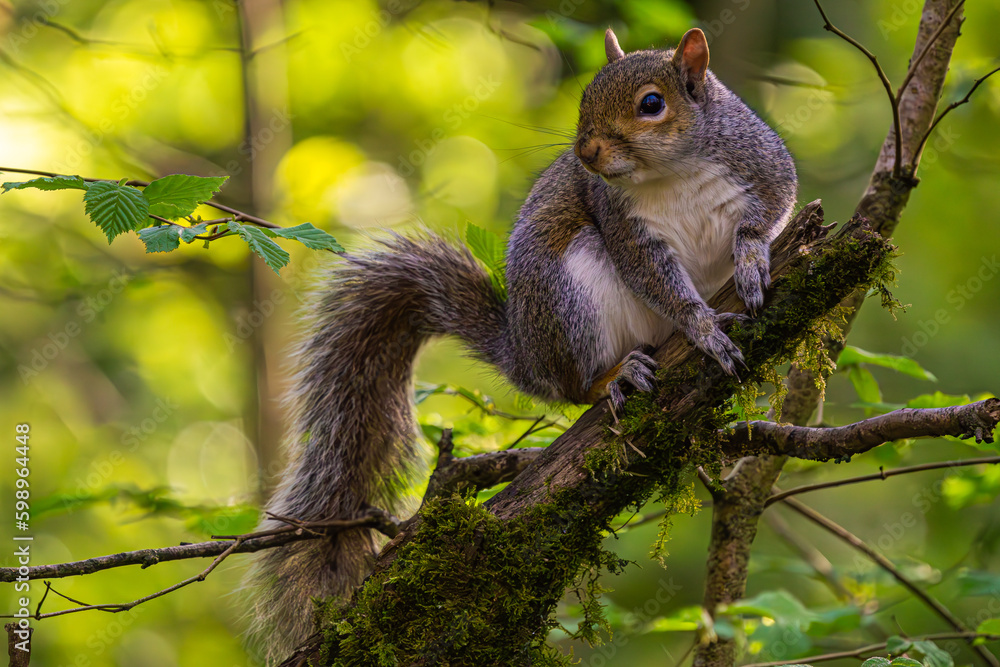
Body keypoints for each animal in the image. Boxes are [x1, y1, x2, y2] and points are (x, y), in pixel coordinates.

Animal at [248, 27, 796, 664]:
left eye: (652, 104)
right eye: (584, 98)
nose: (586, 154)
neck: (673, 169)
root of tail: (525, 354)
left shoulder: (763, 166)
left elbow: (770, 215)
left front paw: (753, 262)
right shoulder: (624, 228)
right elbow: (658, 282)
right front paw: (703, 328)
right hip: (569, 297)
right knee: (575, 388)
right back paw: (614, 377)